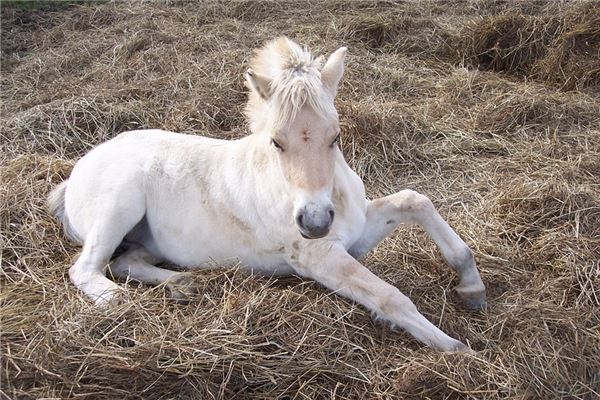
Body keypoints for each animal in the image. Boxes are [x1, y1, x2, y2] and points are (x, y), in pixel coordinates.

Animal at [48, 36, 488, 350]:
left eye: (336, 136)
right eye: (276, 141)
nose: (314, 222)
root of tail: (78, 172)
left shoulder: (357, 233)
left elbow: (415, 200)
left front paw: (472, 289)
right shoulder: (318, 256)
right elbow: (389, 297)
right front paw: (457, 350)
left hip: (148, 239)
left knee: (127, 262)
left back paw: (184, 285)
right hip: (119, 205)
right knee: (86, 269)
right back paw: (119, 301)